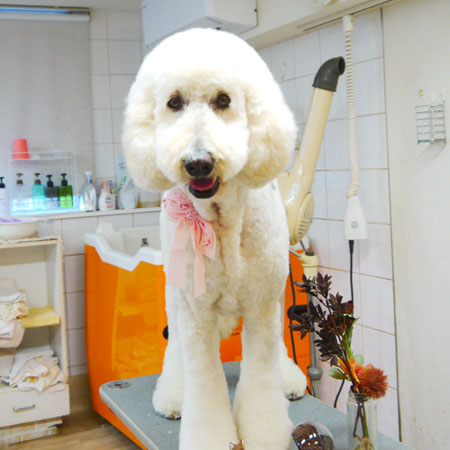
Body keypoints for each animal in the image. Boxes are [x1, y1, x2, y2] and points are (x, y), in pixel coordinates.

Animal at [123, 28, 307, 450]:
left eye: (223, 100)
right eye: (174, 102)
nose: (198, 162)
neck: (220, 223)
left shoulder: (262, 305)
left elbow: (262, 380)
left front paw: (264, 433)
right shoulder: (196, 313)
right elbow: (204, 385)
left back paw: (288, 379)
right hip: (176, 297)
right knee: (176, 351)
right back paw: (173, 395)